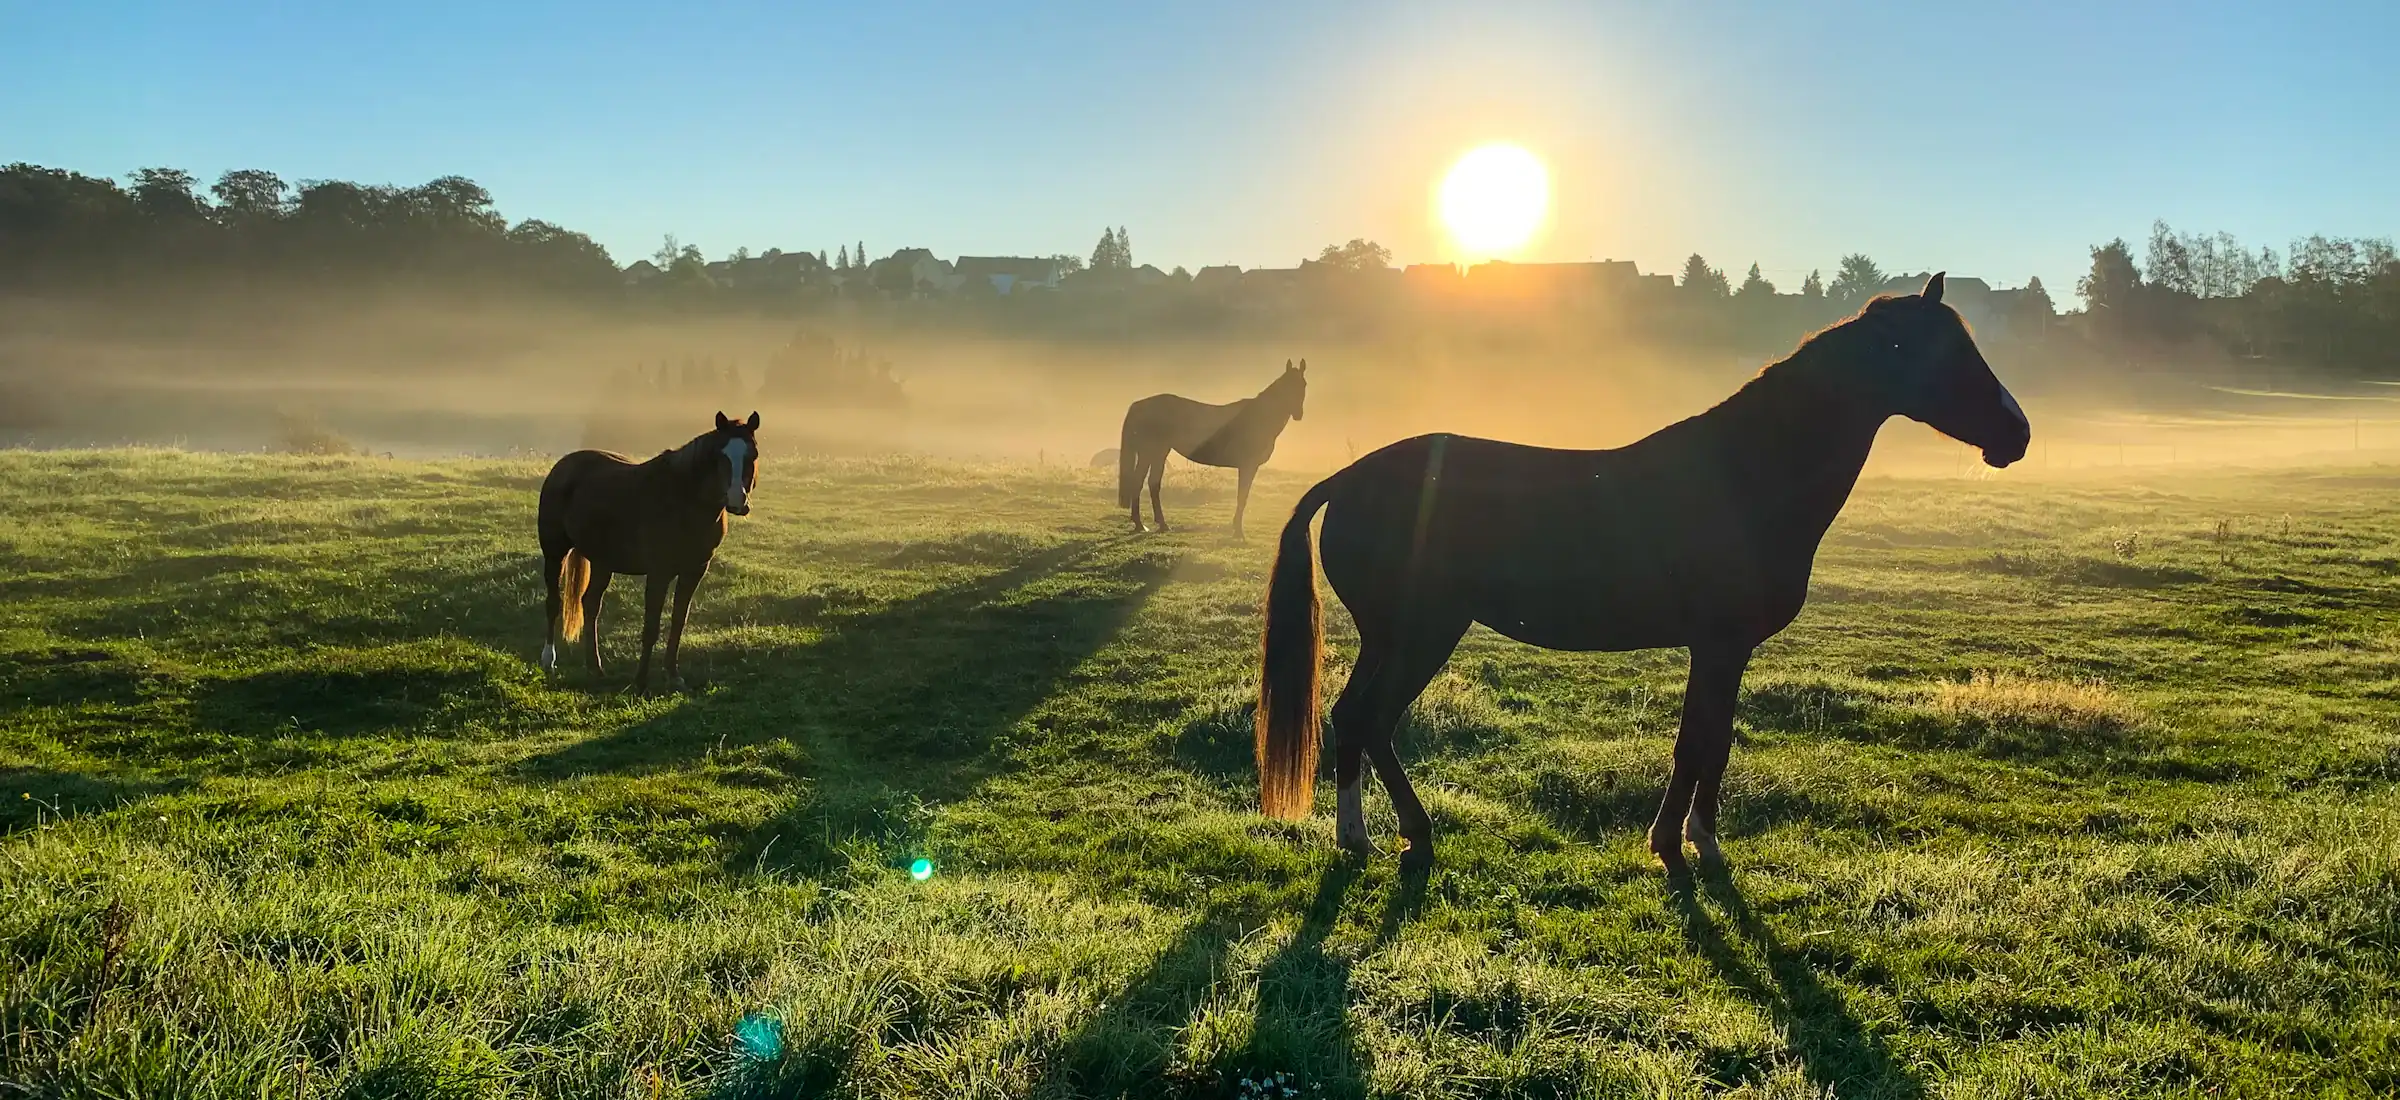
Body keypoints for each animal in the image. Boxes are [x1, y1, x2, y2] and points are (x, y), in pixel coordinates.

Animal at [538, 411, 761, 694]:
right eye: (721, 456)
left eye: (752, 455)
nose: (736, 501)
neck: (685, 503)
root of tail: (563, 466)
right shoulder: (659, 573)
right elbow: (651, 626)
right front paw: (640, 681)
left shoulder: (694, 571)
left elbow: (678, 621)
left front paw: (673, 674)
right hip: (555, 552)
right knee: (553, 603)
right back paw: (549, 660)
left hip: (602, 562)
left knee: (590, 605)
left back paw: (595, 667)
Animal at [1117, 359, 1307, 539]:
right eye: (1287, 386)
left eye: (1304, 384)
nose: (1298, 414)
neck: (1258, 418)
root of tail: (1139, 405)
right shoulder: (1247, 466)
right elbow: (1242, 497)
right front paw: (1238, 532)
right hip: (1151, 452)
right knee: (1142, 482)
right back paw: (1145, 524)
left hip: (1157, 453)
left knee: (1150, 483)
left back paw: (1155, 524)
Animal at [1254, 274, 2029, 875]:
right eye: (1942, 353)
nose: (2017, 434)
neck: (1744, 474)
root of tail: (1349, 477)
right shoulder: (1719, 646)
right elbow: (1699, 745)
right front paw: (1686, 846)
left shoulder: (1722, 651)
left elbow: (1709, 742)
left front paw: (1687, 840)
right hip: (1420, 634)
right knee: (1369, 719)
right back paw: (1394, 835)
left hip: (1394, 638)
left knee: (1355, 720)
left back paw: (1374, 835)